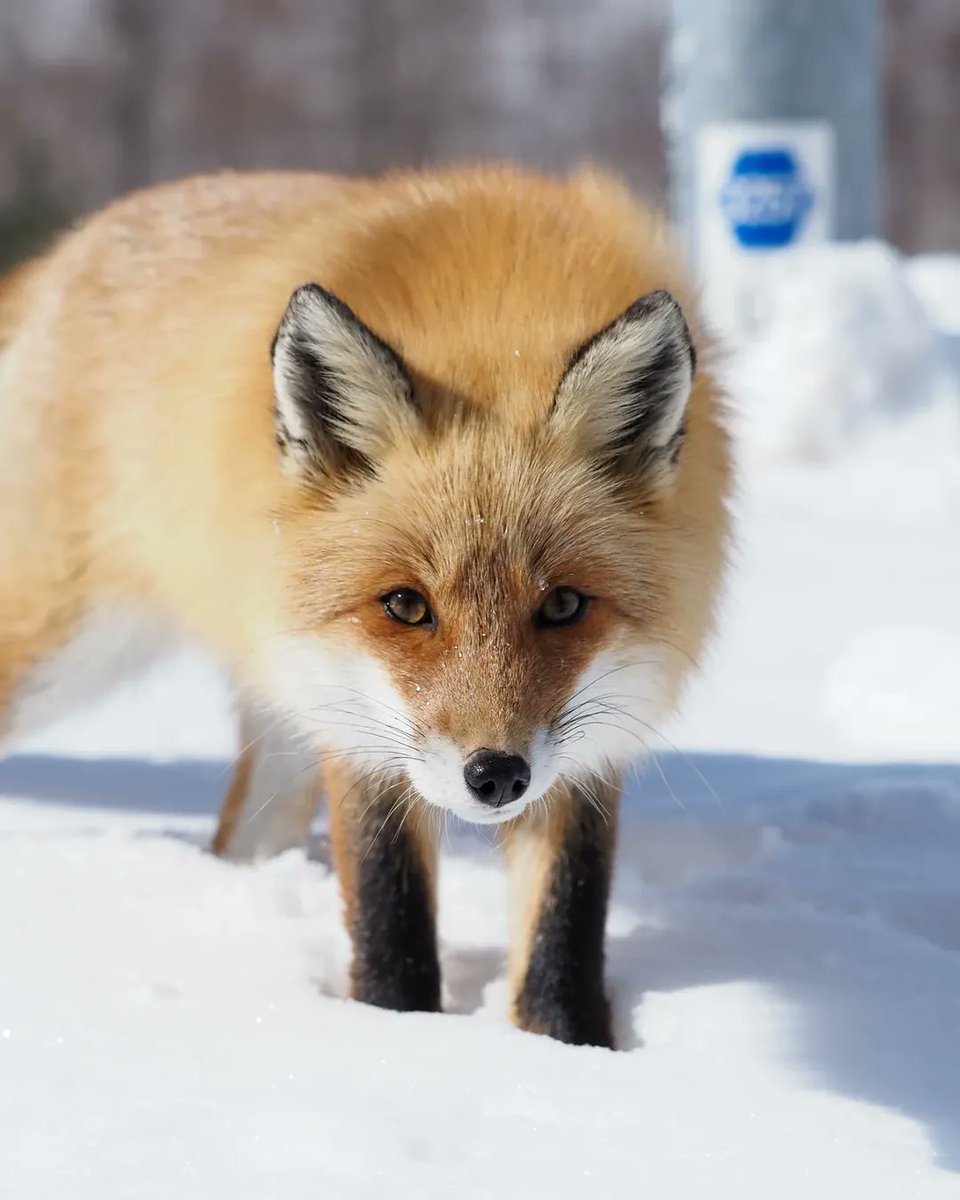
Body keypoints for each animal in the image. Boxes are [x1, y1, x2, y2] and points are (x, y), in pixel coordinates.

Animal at [0, 165, 730, 1048]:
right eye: (406, 606)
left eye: (562, 605)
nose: (495, 776)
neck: (493, 308)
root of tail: (69, 248)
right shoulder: (362, 735)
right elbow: (391, 922)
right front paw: (394, 1040)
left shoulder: (592, 740)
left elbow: (564, 931)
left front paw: (562, 1049)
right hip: (63, 653)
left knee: (238, 838)